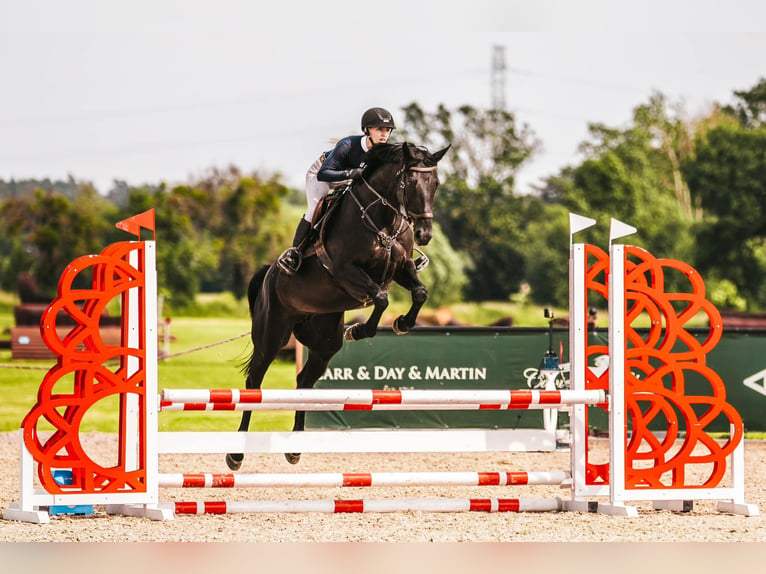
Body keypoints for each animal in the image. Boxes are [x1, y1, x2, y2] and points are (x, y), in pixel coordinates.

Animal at [225, 142, 450, 470]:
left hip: (324, 341)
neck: (382, 222)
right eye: (410, 181)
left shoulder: (402, 269)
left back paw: (294, 450)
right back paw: (235, 455)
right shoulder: (346, 272)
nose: (424, 234)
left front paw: (401, 324)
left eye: (435, 183)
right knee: (254, 382)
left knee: (304, 382)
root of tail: (268, 273)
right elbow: (381, 298)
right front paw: (358, 330)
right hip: (272, 336)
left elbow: (420, 292)